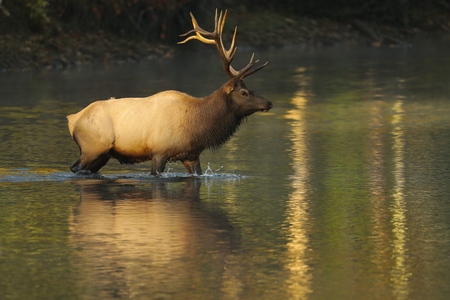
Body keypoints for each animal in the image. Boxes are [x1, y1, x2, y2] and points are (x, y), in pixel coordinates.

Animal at [66, 9, 270, 176]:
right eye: (243, 92)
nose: (269, 103)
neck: (197, 125)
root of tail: (72, 119)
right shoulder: (159, 152)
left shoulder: (191, 155)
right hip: (92, 148)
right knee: (74, 168)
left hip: (102, 155)